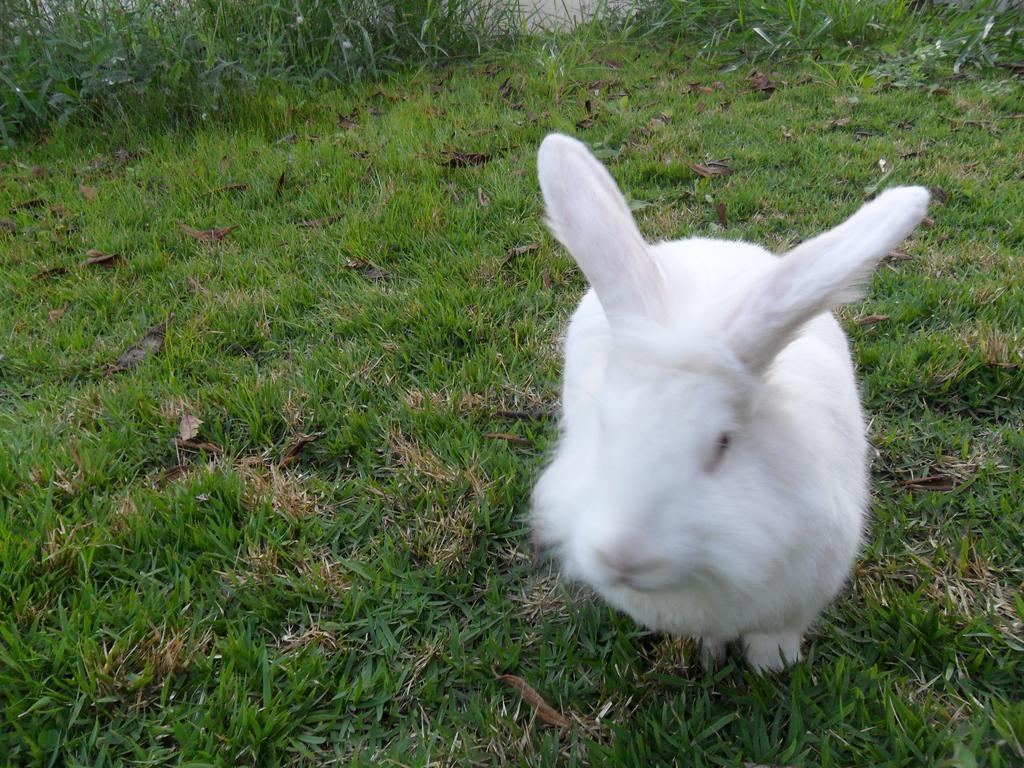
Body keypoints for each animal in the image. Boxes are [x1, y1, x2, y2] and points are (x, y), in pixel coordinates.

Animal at [532, 134, 933, 671]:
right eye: (603, 427)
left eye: (723, 443)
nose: (625, 558)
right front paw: (710, 657)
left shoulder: (797, 599)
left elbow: (776, 634)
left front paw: (772, 665)